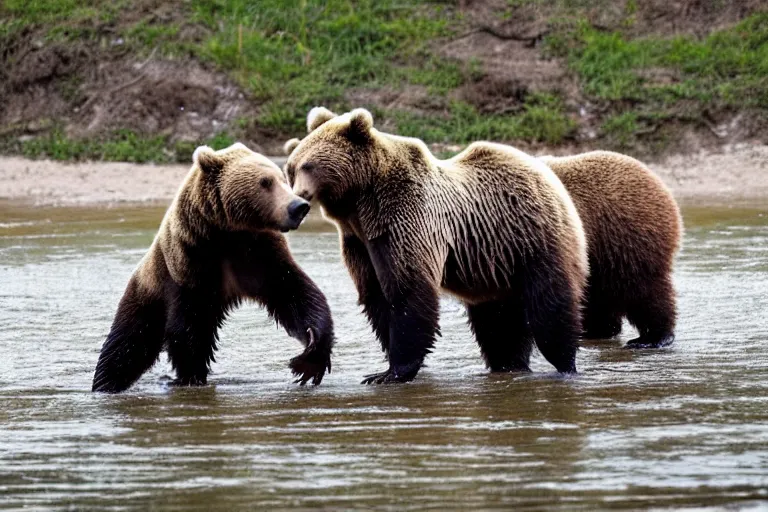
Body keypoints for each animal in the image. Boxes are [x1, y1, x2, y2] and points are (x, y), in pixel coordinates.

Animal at [91, 143, 332, 392]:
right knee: (126, 345)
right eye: (265, 182)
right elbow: (189, 329)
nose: (299, 206)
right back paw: (105, 383)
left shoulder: (261, 257)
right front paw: (192, 377)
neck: (227, 233)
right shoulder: (192, 265)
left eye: (283, 179)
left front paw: (310, 357)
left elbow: (296, 296)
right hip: (147, 296)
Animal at [284, 108, 588, 384]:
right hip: (494, 266)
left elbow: (408, 288)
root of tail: (543, 171)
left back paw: (565, 365)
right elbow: (376, 295)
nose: (299, 196)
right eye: (291, 168)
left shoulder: (405, 219)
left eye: (308, 166)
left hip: (532, 238)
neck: (361, 204)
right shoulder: (359, 241)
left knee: (549, 307)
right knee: (499, 326)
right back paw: (508, 364)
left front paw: (392, 372)